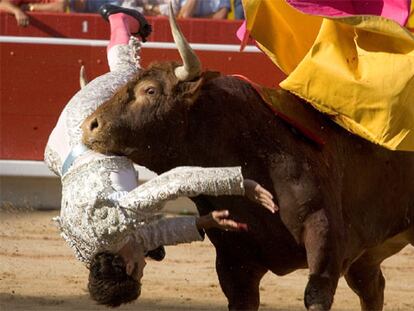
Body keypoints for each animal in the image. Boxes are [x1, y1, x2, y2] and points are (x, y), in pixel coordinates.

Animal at [81, 9, 414, 311]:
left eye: (149, 91)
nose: (89, 126)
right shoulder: (234, 266)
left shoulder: (324, 238)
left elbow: (316, 295)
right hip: (367, 254)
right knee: (372, 287)